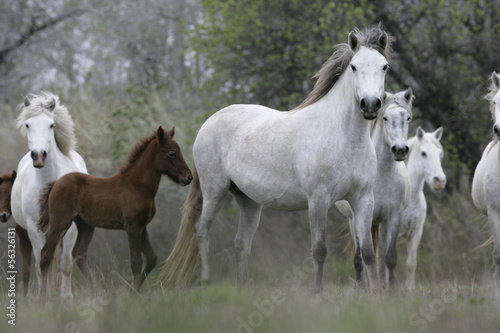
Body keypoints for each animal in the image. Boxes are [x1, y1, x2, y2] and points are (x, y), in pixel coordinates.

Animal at [11, 92, 88, 302]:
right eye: (28, 125)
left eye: (51, 125)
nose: (38, 156)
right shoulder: (34, 228)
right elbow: (40, 264)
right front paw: (42, 298)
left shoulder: (70, 228)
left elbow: (66, 264)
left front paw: (66, 299)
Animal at [160, 26, 394, 290]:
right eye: (354, 66)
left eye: (384, 66)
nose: (370, 105)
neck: (346, 139)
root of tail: (208, 123)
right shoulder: (318, 200)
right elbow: (319, 250)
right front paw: (317, 292)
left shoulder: (363, 199)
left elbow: (368, 253)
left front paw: (376, 293)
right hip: (214, 192)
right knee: (201, 231)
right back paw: (207, 279)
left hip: (249, 201)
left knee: (241, 245)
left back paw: (242, 288)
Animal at [340, 88, 414, 288]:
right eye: (385, 118)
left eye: (408, 118)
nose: (400, 150)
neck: (382, 177)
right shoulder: (360, 217)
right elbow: (360, 258)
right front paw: (361, 289)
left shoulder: (394, 217)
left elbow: (390, 258)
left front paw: (392, 290)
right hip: (356, 221)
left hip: (381, 223)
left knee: (380, 256)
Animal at [398, 126, 446, 290]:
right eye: (423, 153)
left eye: (440, 153)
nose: (440, 181)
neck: (410, 199)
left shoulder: (416, 233)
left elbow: (411, 264)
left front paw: (409, 290)